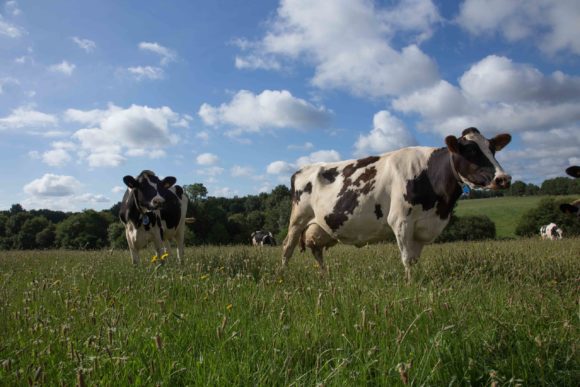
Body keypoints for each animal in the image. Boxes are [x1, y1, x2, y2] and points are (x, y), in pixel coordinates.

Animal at [280, 127, 512, 282]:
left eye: (492, 149)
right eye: (471, 151)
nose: (503, 178)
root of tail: (301, 169)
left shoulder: (422, 227)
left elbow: (414, 259)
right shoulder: (401, 221)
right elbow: (407, 258)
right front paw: (409, 286)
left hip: (321, 226)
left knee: (317, 251)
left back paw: (326, 277)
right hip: (298, 219)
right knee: (287, 248)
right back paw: (281, 277)